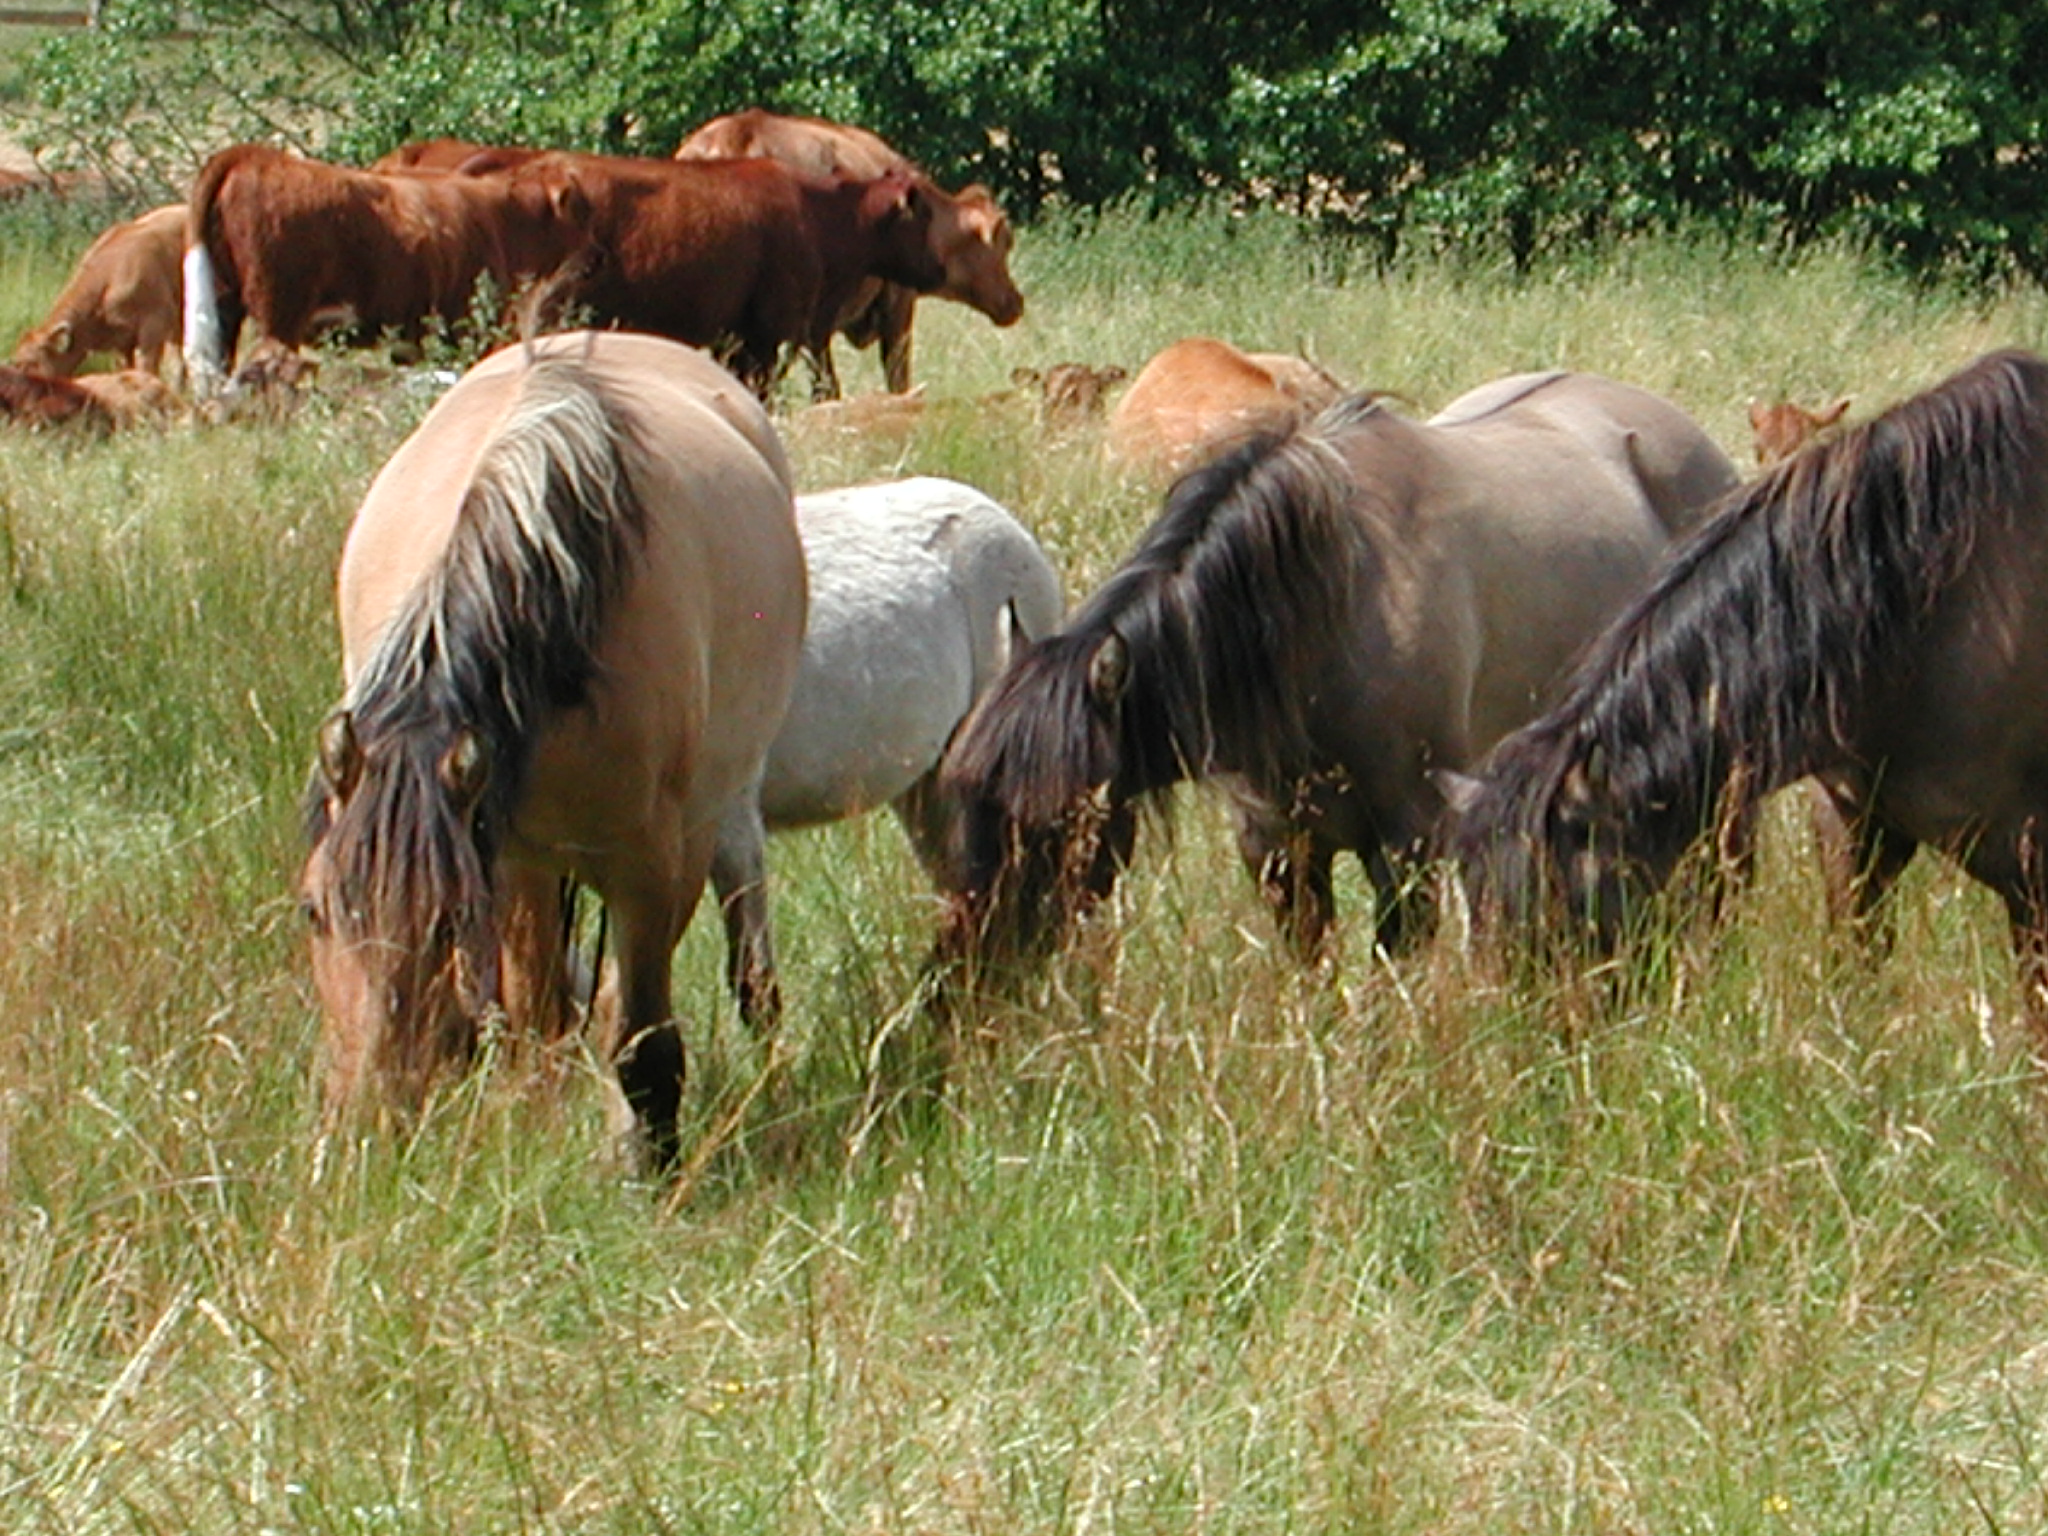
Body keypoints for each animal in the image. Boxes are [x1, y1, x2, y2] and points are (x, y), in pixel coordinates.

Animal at [299, 330, 807, 1166]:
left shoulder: (655, 869)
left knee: (745, 955)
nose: (370, 1121)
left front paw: (650, 1166)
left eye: (450, 922)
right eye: (314, 912)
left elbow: (644, 1046)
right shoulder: (515, 860)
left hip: (726, 807)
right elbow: (539, 1026)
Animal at [929, 370, 1738, 986]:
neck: (1331, 604)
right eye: (964, 794)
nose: (973, 965)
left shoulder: (1410, 845)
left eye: (1056, 816)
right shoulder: (1277, 848)